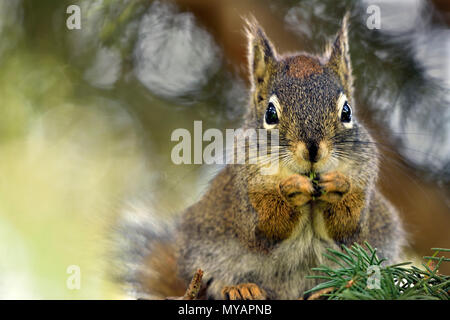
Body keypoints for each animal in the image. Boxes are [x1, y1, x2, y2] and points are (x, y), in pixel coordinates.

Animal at [118, 14, 406, 300]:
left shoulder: (363, 176)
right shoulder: (246, 192)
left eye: (347, 111)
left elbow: (349, 225)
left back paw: (330, 289)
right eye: (270, 113)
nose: (313, 149)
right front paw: (290, 190)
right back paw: (240, 288)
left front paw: (338, 186)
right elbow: (264, 226)